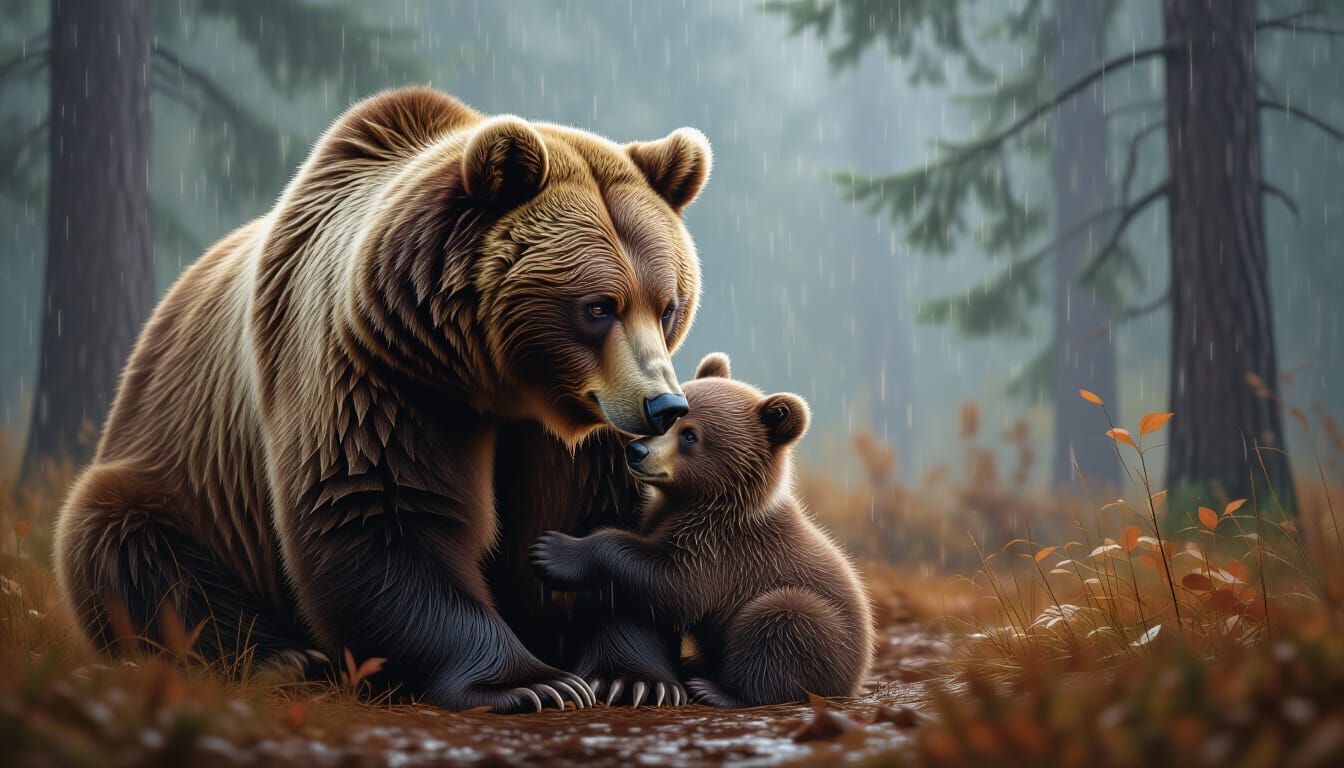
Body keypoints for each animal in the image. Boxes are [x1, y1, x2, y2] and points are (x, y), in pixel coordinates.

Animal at [52, 87, 712, 713]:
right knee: (129, 544)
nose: (663, 406)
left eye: (667, 305)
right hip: (180, 476)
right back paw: (281, 659)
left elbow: (603, 520)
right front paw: (532, 684)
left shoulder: (578, 427)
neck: (495, 380)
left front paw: (632, 678)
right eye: (598, 307)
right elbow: (379, 512)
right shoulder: (379, 374)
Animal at [530, 353, 874, 707]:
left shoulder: (723, 546)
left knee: (779, 623)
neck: (699, 499)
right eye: (667, 418)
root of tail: (855, 678)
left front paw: (554, 551)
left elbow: (674, 583)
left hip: (815, 626)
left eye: (690, 435)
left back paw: (715, 689)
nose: (636, 451)